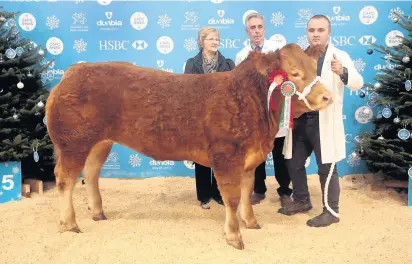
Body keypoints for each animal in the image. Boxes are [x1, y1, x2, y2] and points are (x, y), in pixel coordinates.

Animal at [45, 42, 332, 250]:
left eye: (314, 69)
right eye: (294, 74)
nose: (327, 97)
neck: (250, 99)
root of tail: (72, 72)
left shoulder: (250, 159)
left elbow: (247, 191)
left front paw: (250, 222)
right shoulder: (226, 157)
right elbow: (232, 197)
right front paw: (234, 237)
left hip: (99, 143)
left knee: (91, 173)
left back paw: (98, 212)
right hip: (74, 143)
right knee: (65, 180)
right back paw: (69, 223)